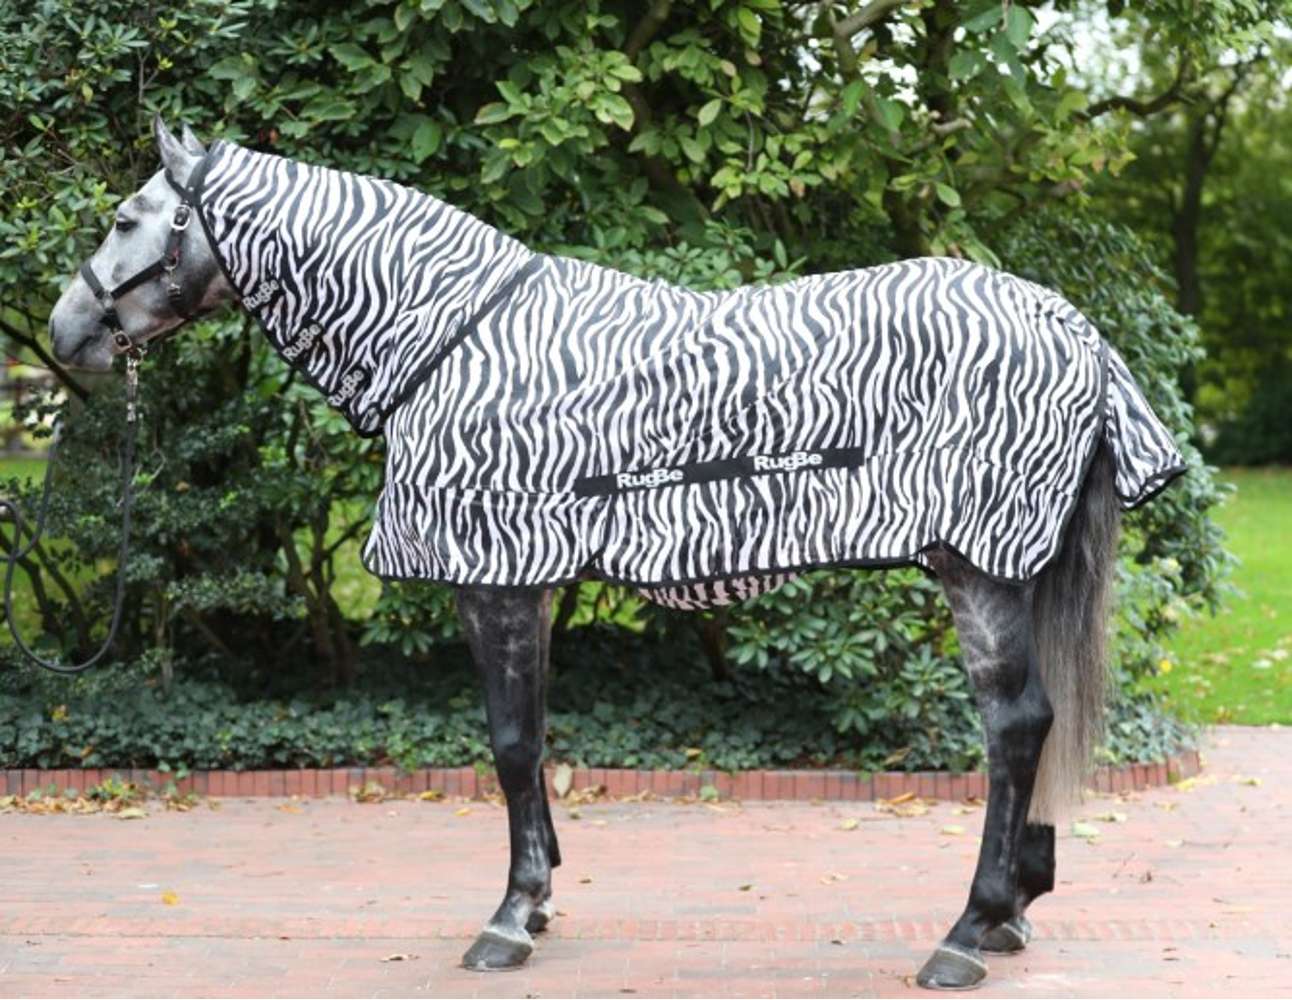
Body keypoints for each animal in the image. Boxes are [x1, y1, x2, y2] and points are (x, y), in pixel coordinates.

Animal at [48, 117, 1185, 990]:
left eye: (125, 219)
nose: (63, 334)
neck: (450, 340)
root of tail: (1071, 328)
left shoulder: (493, 579)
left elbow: (509, 745)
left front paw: (509, 919)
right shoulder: (531, 581)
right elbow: (535, 734)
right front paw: (542, 894)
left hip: (975, 567)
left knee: (1013, 726)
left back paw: (963, 933)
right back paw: (1008, 913)